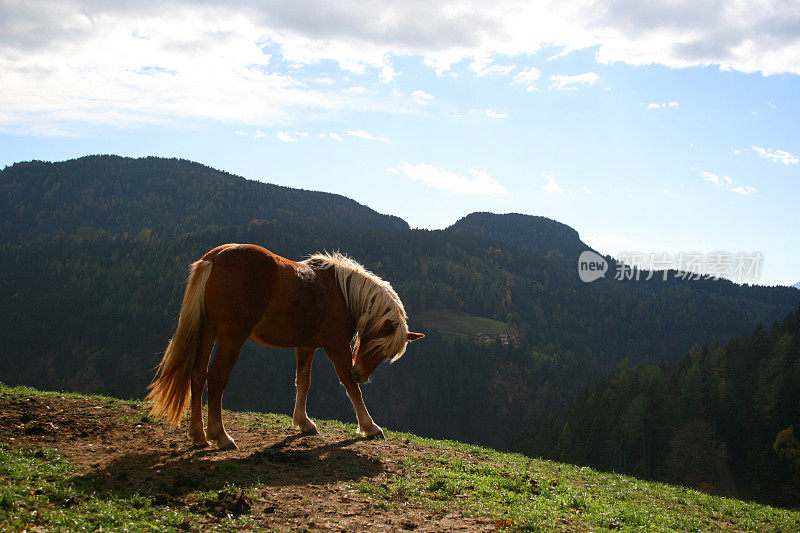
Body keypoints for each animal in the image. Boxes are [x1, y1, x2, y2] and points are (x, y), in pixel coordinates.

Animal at [148, 244, 424, 448]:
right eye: (378, 347)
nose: (361, 374)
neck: (341, 293)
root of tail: (214, 258)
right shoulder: (336, 347)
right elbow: (350, 387)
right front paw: (369, 426)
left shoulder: (306, 347)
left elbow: (303, 382)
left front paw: (303, 423)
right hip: (232, 336)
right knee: (216, 377)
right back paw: (221, 435)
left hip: (208, 331)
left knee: (197, 374)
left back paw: (198, 435)